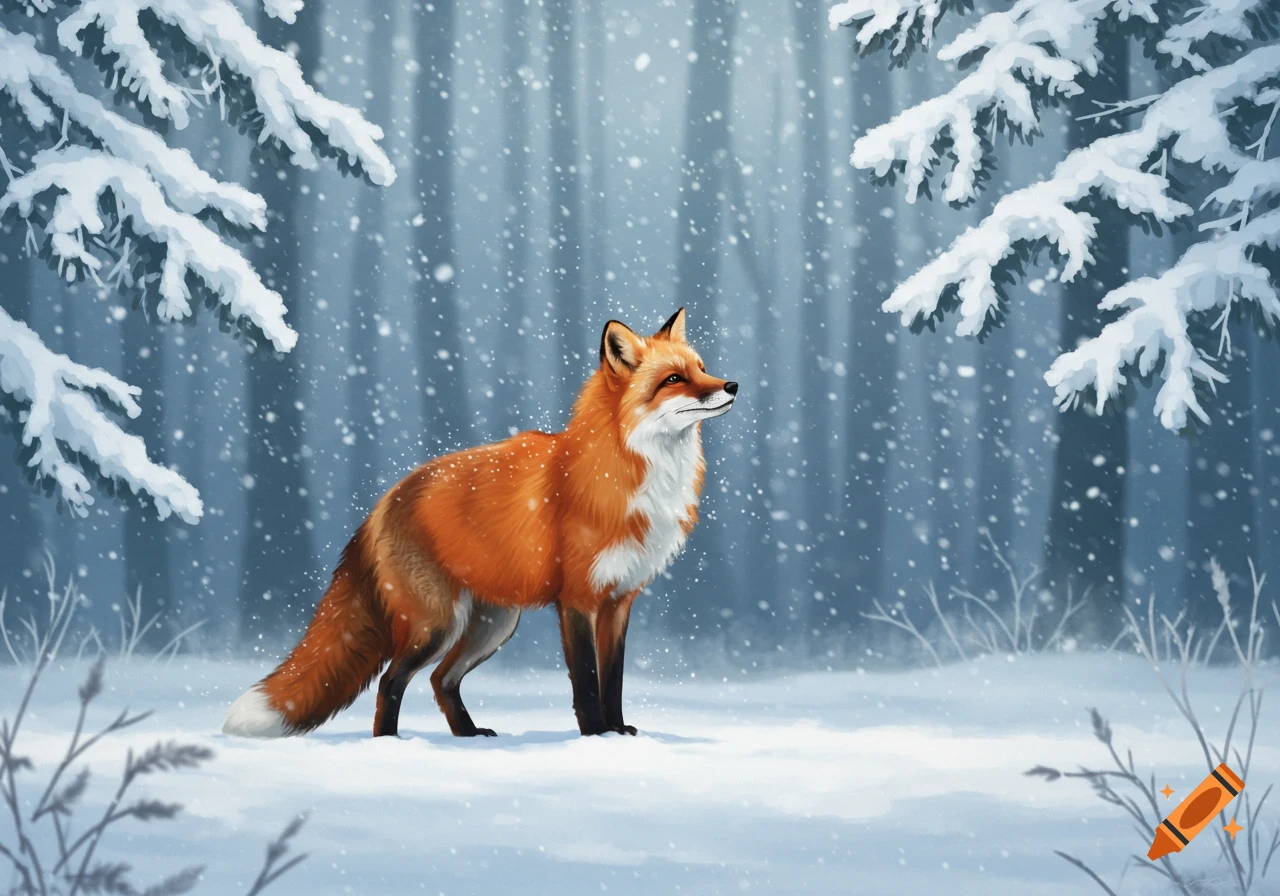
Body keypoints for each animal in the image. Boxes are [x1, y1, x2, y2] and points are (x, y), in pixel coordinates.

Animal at [222, 308, 737, 739]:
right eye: (674, 379)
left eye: (702, 366)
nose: (731, 385)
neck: (626, 469)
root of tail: (384, 500)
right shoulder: (578, 600)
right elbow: (588, 683)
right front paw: (594, 735)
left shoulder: (618, 601)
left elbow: (613, 680)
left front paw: (618, 732)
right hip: (436, 625)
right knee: (392, 681)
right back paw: (389, 744)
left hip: (491, 626)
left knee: (440, 679)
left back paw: (467, 736)